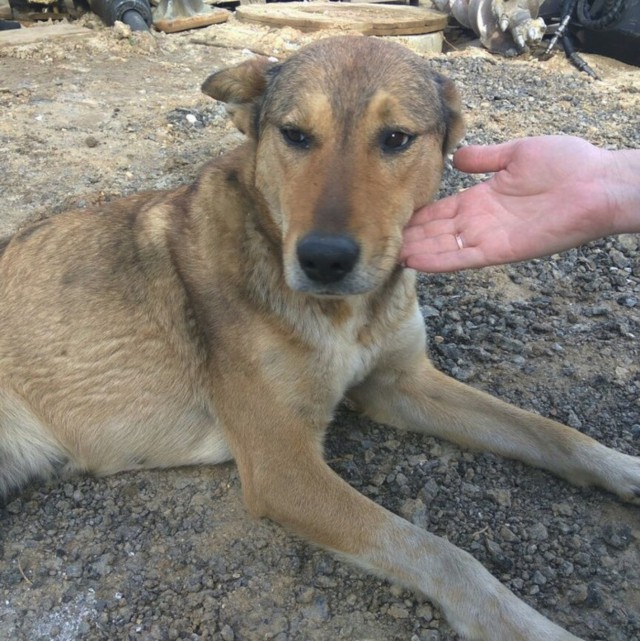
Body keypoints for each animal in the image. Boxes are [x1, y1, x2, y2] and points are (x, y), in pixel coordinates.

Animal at [1, 36, 640, 640]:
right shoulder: (281, 466)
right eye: (295, 135)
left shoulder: (400, 384)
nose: (323, 259)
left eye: (395, 138)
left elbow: (549, 432)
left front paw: (623, 468)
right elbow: (436, 550)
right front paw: (521, 623)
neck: (348, 316)